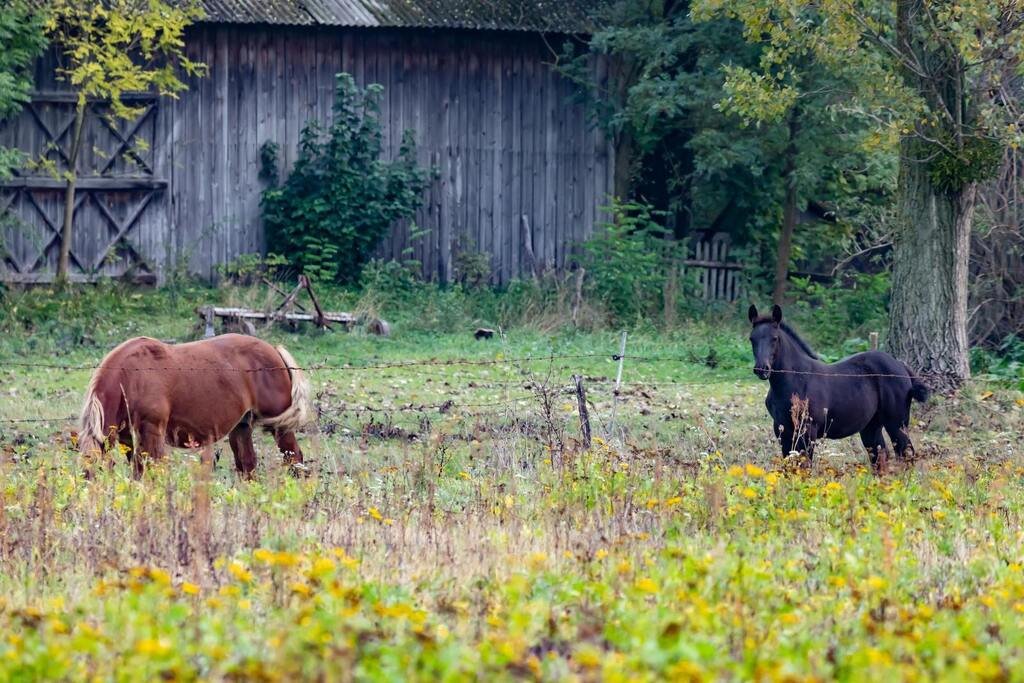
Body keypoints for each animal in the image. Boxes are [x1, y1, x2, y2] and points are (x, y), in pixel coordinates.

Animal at [77, 333, 309, 479]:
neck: (131, 377)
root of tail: (274, 350)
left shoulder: (152, 432)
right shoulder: (128, 439)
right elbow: (139, 472)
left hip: (280, 427)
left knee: (294, 458)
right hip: (242, 427)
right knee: (247, 465)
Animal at [749, 305, 933, 471]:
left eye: (774, 338)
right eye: (752, 339)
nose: (761, 369)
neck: (796, 380)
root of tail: (901, 366)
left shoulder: (808, 431)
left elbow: (805, 467)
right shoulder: (782, 430)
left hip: (897, 422)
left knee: (906, 453)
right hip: (871, 426)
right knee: (880, 457)